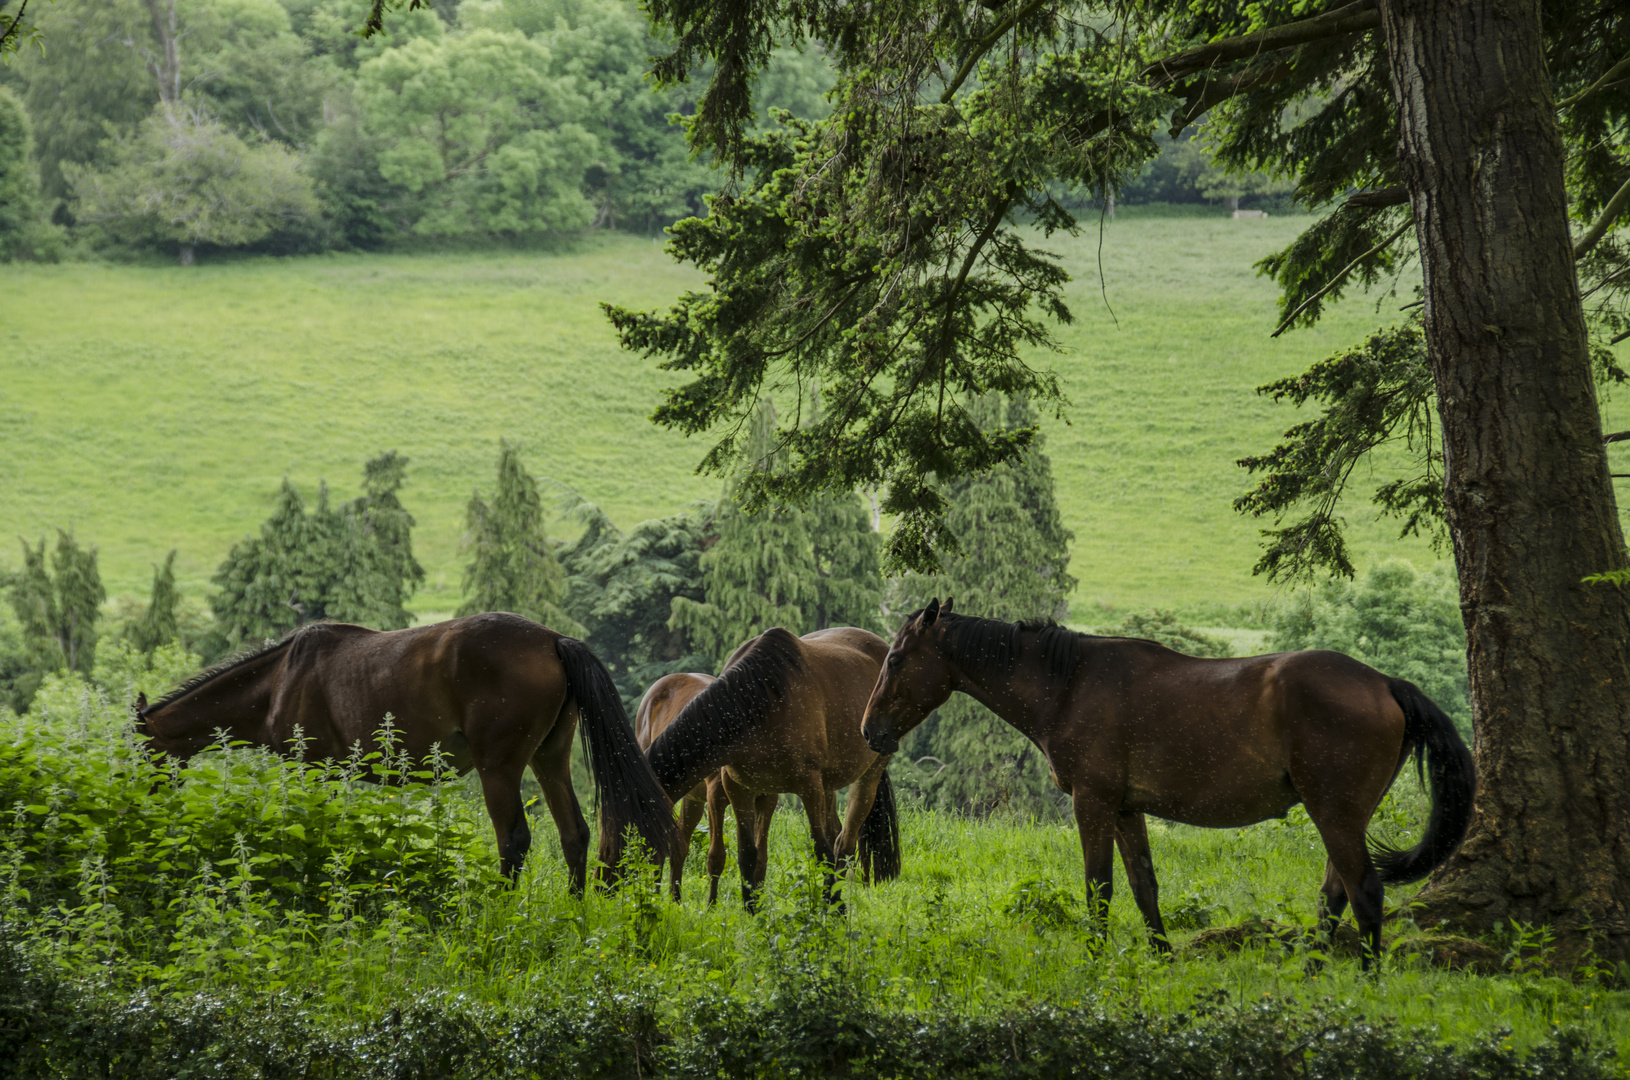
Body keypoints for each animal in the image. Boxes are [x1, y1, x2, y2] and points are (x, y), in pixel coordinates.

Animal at [133, 612, 674, 892]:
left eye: (140, 753)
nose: (144, 806)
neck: (279, 678)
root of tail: (554, 640)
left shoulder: (313, 771)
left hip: (498, 768)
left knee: (514, 841)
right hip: (549, 760)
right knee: (574, 834)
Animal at [632, 677, 779, 905]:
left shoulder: (767, 800)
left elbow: (761, 858)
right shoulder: (716, 798)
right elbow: (716, 856)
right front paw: (711, 904)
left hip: (692, 799)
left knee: (680, 844)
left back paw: (675, 899)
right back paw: (655, 894)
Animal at [867, 599, 1480, 970]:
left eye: (895, 659)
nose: (869, 730)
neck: (1068, 683)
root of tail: (1385, 683)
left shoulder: (1093, 803)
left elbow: (1099, 887)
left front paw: (1097, 961)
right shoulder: (1125, 809)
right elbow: (1144, 885)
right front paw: (1160, 958)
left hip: (1336, 814)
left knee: (1365, 893)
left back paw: (1366, 982)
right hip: (1341, 816)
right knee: (1335, 894)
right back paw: (1313, 971)